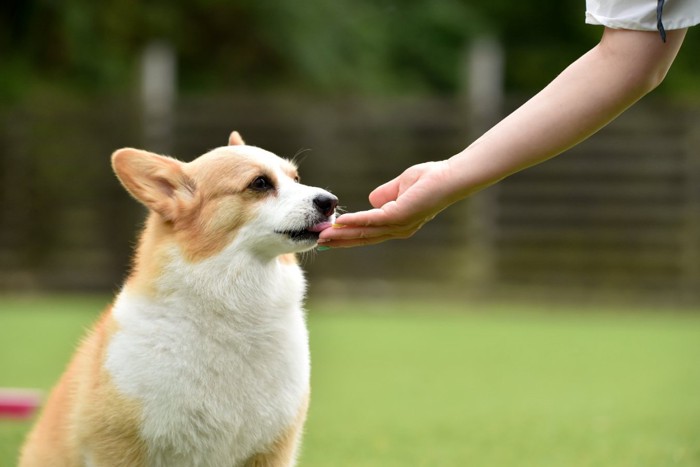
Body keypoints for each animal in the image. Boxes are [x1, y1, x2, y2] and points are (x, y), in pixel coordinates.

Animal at [20, 132, 338, 467]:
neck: (232, 314)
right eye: (260, 183)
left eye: (296, 178)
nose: (330, 202)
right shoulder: (119, 448)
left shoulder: (271, 451)